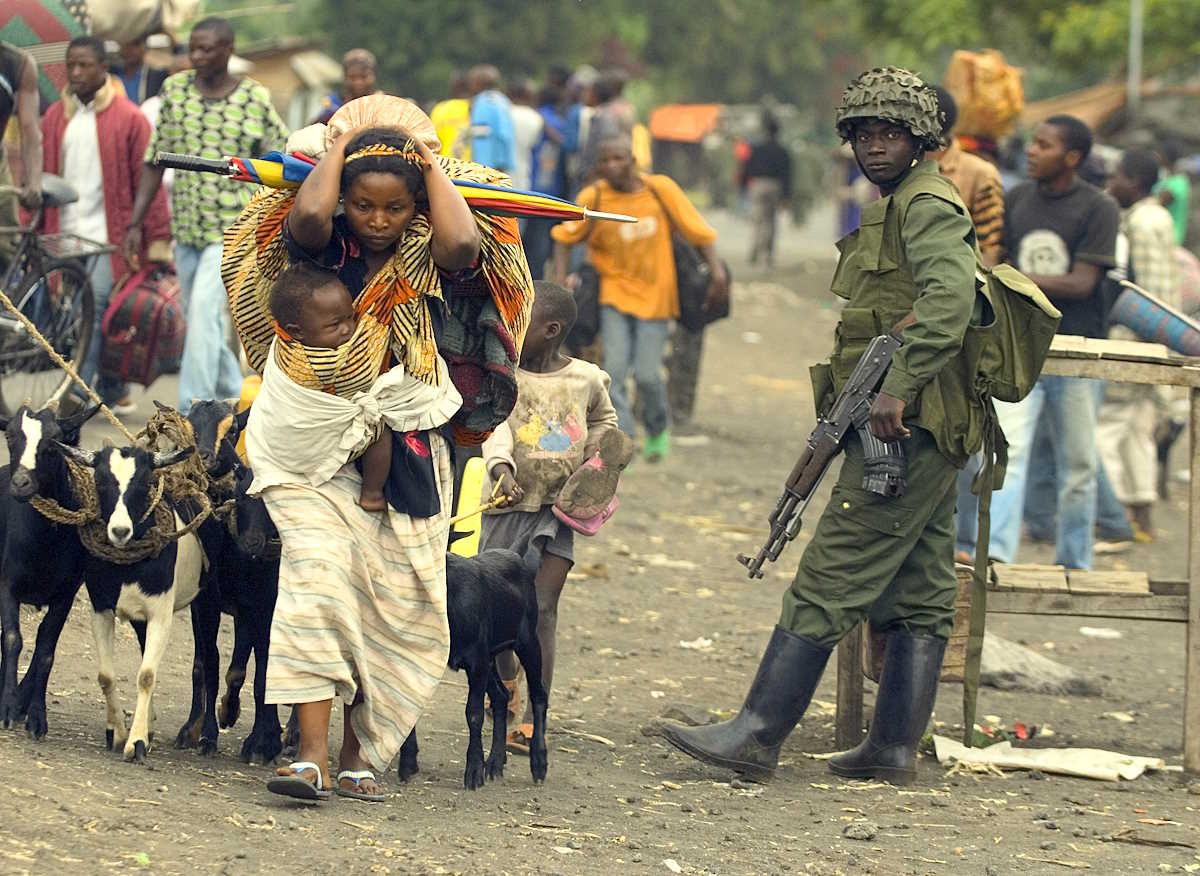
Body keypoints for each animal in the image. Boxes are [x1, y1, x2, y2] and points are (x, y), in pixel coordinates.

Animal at [398, 547, 549, 787]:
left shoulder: (476, 660)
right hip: (490, 657)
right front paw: (408, 763)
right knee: (501, 696)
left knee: (538, 694)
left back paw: (538, 763)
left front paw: (474, 772)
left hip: (527, 642)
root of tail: (520, 559)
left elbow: (474, 713)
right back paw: (495, 763)